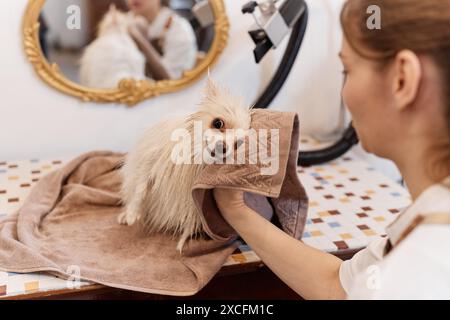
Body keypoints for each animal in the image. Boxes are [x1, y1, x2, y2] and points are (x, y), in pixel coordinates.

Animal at [119, 79, 251, 251]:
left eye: (238, 144)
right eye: (218, 123)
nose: (222, 147)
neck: (195, 155)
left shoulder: (194, 201)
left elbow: (189, 221)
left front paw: (182, 243)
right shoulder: (149, 161)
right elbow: (140, 189)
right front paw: (131, 215)